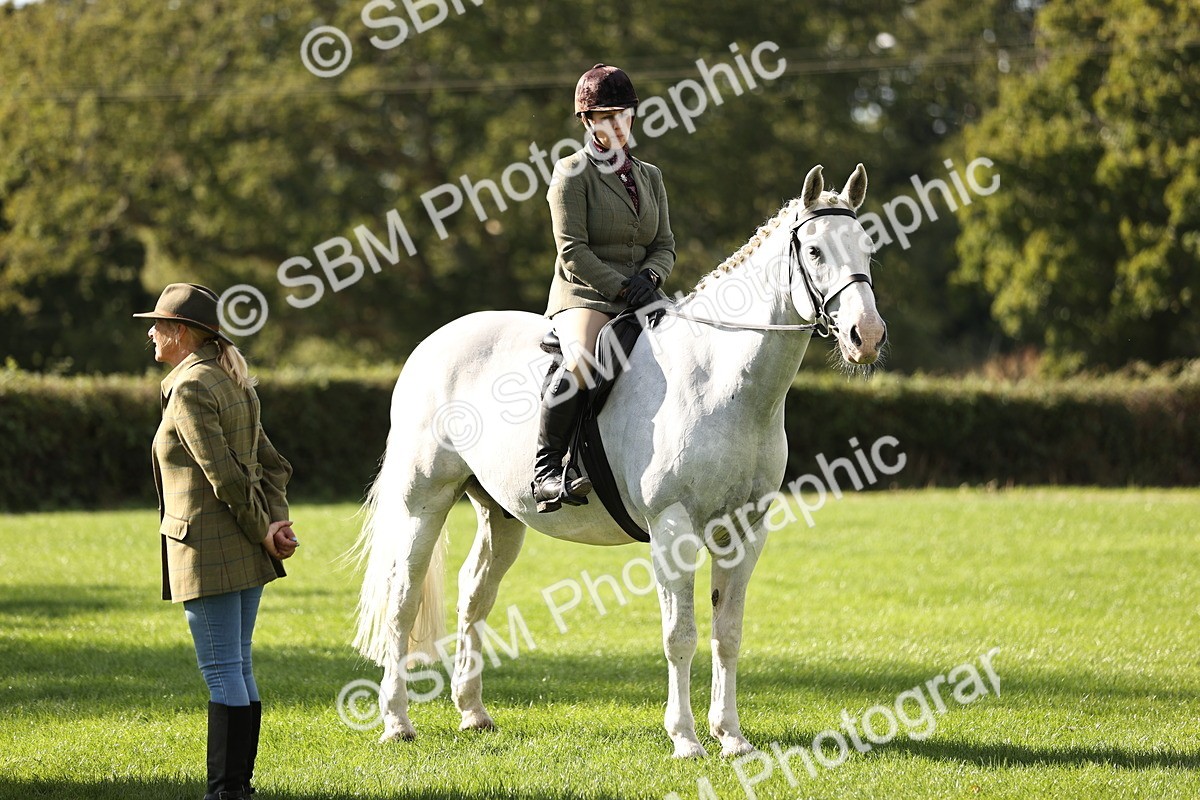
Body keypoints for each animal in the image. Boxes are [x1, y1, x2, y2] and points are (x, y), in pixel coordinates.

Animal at [352, 163, 887, 758]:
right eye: (814, 250)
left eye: (867, 246)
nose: (866, 336)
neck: (722, 381)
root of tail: (434, 343)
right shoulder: (674, 528)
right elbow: (681, 636)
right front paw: (686, 739)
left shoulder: (745, 530)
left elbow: (727, 633)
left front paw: (731, 737)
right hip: (424, 502)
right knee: (402, 601)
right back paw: (396, 721)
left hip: (501, 513)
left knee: (475, 594)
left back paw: (473, 713)